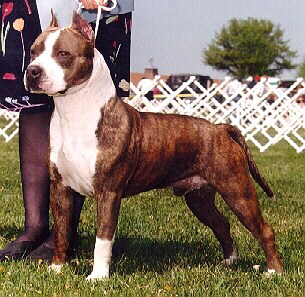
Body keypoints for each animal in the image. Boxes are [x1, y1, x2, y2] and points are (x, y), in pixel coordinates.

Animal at [24, 12, 282, 280]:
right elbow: (61, 231)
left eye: (63, 53)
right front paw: (57, 267)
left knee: (264, 229)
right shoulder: (61, 188)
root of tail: (220, 128)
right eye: (33, 52)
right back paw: (229, 260)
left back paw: (274, 271)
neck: (75, 112)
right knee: (222, 223)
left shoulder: (108, 192)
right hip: (199, 198)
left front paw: (98, 276)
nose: (33, 71)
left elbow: (103, 238)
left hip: (237, 190)